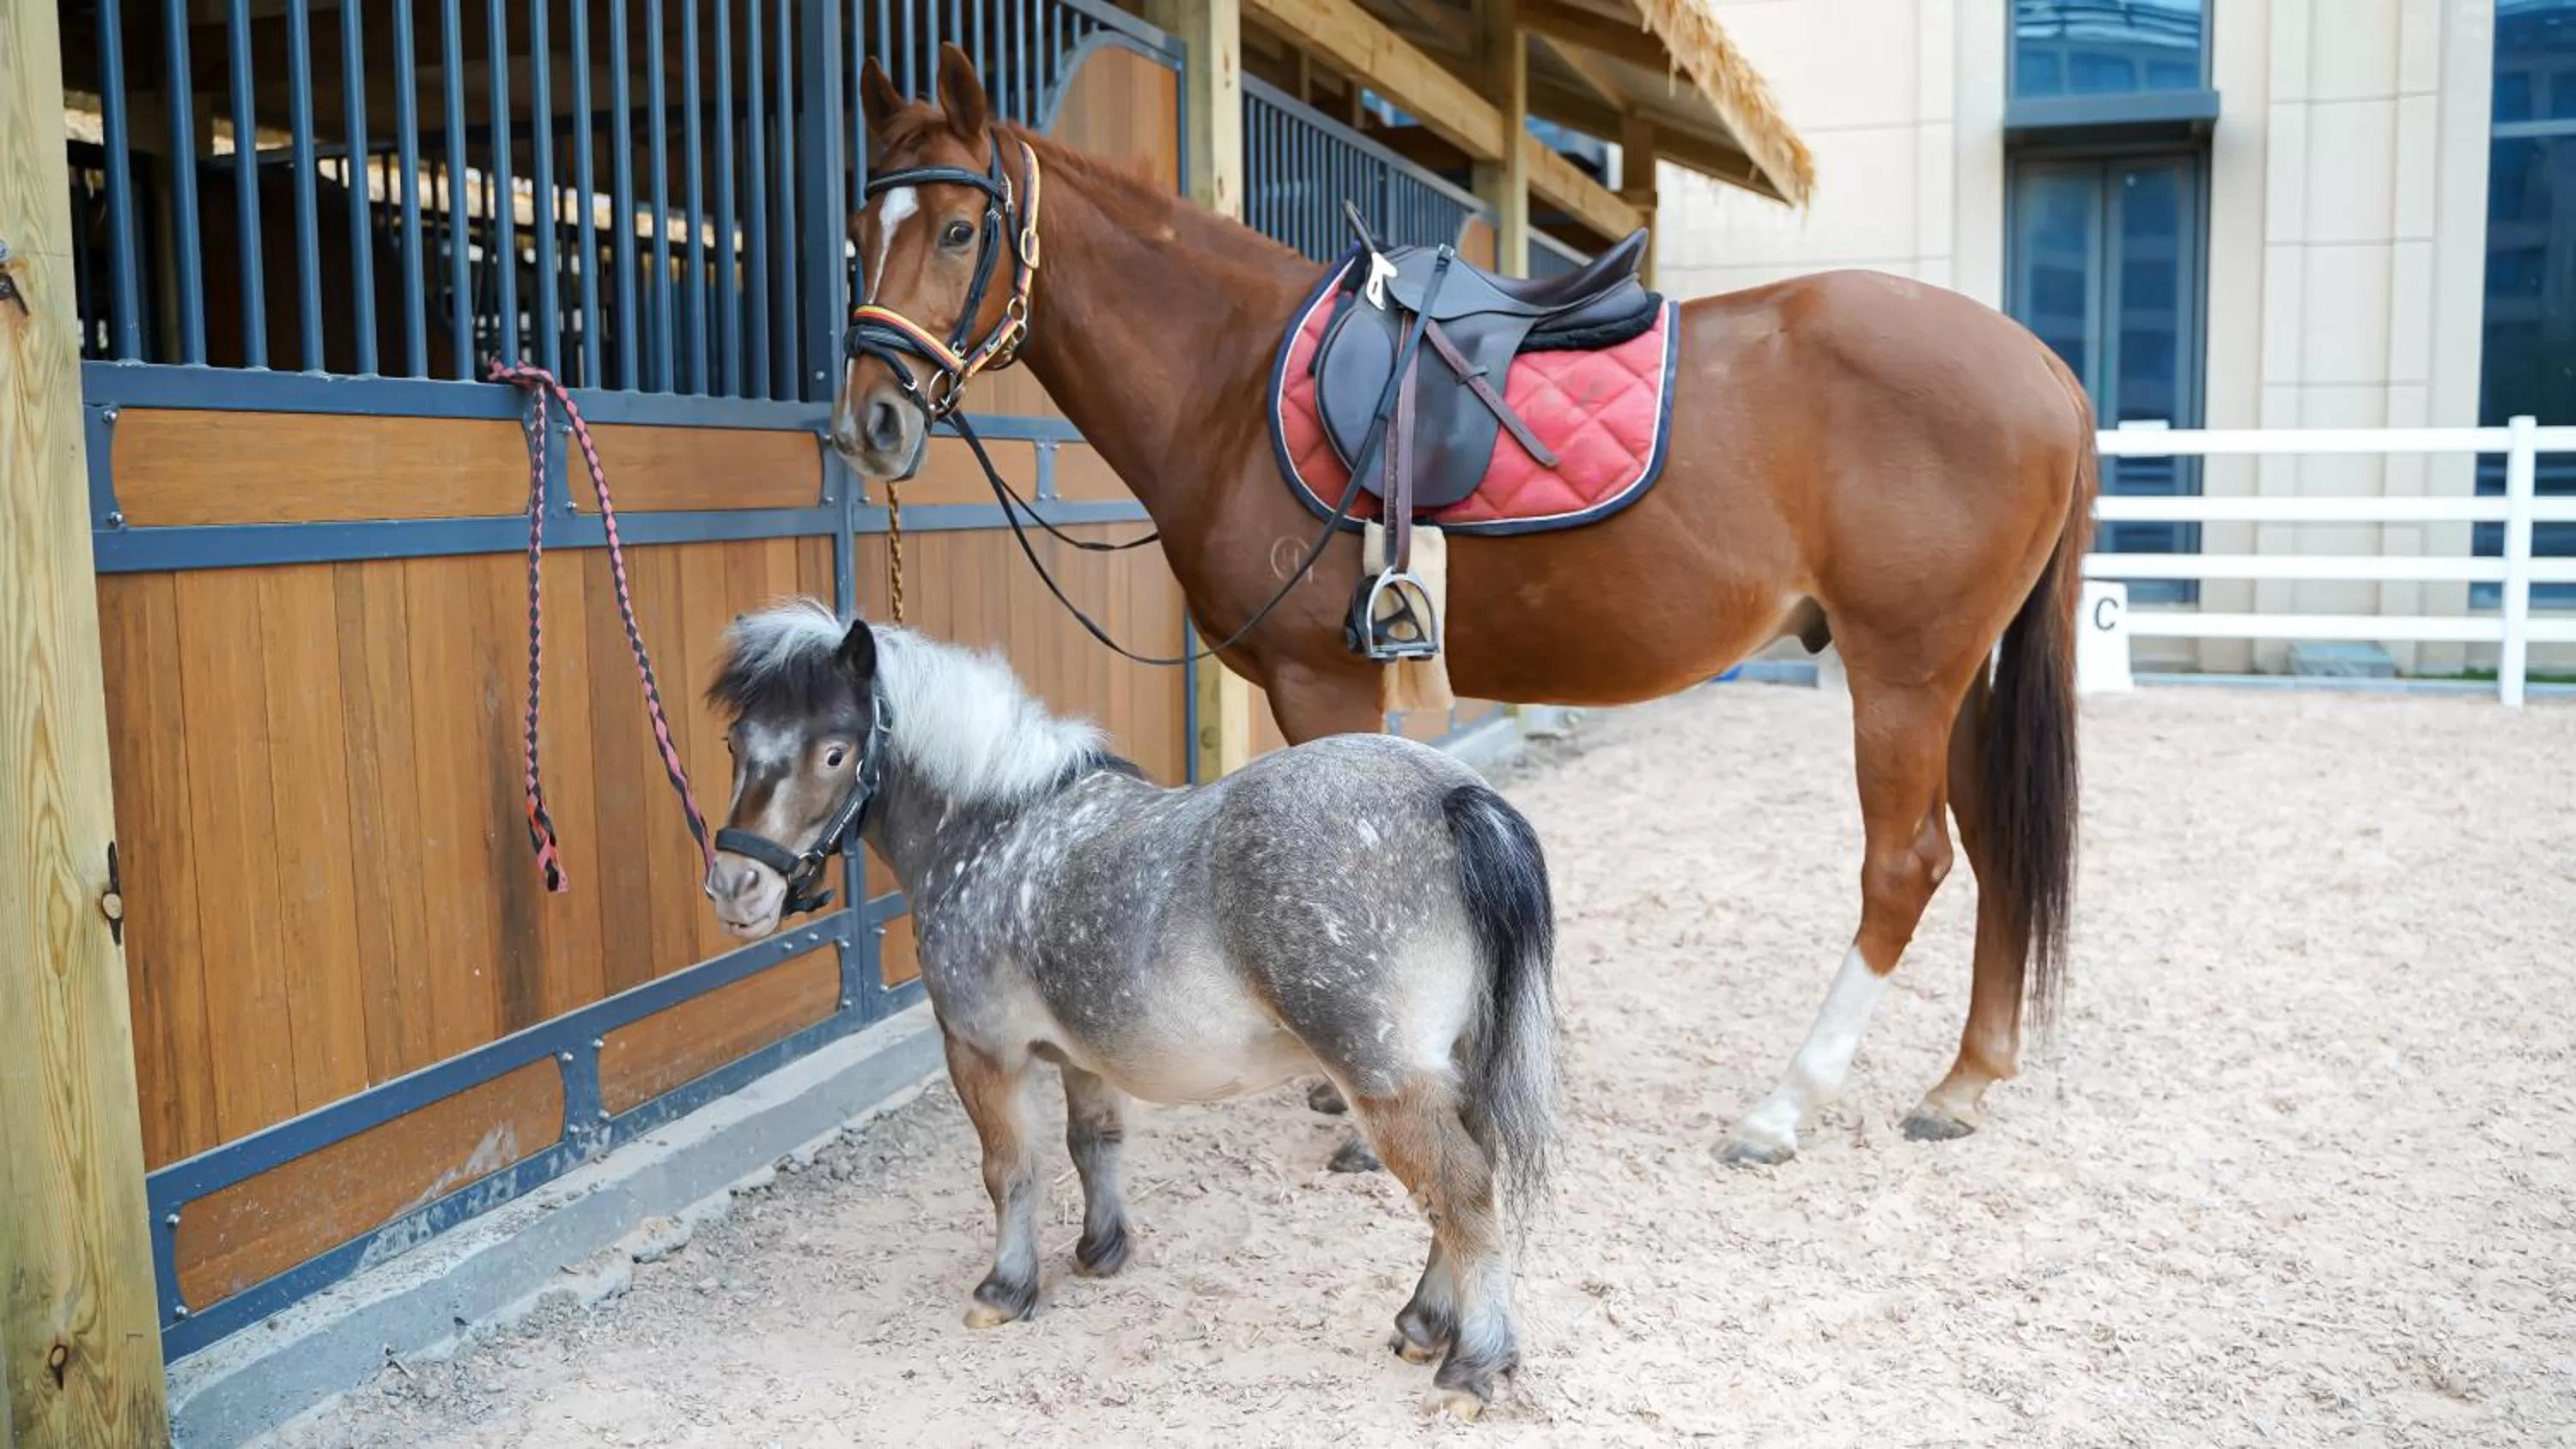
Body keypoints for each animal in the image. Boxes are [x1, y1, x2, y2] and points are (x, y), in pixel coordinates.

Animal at [699, 599, 1561, 1419]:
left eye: (834, 752)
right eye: (736, 743)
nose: (737, 889)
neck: (998, 831)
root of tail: (1454, 796)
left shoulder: (982, 1053)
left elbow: (1010, 1170)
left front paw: (1004, 1290)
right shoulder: (1083, 1056)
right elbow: (1094, 1145)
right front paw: (1100, 1251)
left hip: (1385, 1082)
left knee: (1462, 1195)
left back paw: (1472, 1367)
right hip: (1454, 1067)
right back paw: (1424, 1324)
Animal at [835, 46, 2093, 1167]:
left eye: (958, 231)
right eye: (855, 238)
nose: (868, 424)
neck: (1231, 384)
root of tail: (2039, 366)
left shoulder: (1323, 678)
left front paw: (1358, 1105)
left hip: (1903, 671)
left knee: (1906, 864)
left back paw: (1785, 1107)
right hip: (1959, 675)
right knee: (1991, 846)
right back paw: (1964, 1082)